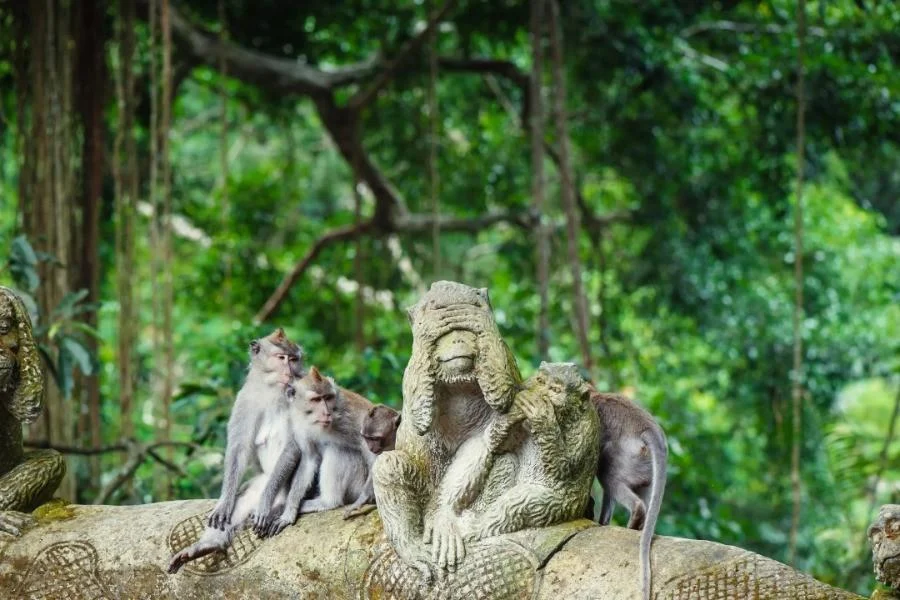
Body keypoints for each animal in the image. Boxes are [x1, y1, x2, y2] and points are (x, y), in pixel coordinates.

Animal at [167, 328, 302, 574]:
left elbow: (292, 447)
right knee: (244, 498)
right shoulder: (245, 399)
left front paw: (264, 506)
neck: (272, 390)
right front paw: (223, 503)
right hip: (260, 481)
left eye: (294, 359)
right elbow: (238, 449)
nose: (290, 371)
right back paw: (208, 545)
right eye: (281, 358)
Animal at [251, 367, 370, 538]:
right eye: (316, 399)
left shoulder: (350, 417)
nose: (327, 413)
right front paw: (288, 513)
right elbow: (309, 459)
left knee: (337, 450)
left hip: (358, 484)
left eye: (328, 397)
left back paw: (328, 502)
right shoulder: (298, 423)